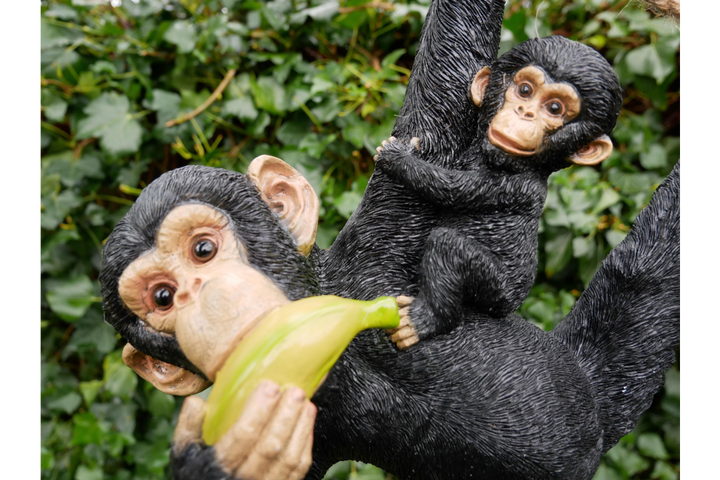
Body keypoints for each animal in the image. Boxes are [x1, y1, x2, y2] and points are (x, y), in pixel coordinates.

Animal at [370, 35, 624, 349]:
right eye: (525, 90)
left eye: (554, 108)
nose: (524, 112)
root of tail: (512, 305)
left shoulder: (515, 186)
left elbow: (449, 187)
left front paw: (396, 157)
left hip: (498, 289)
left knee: (447, 245)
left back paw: (424, 321)